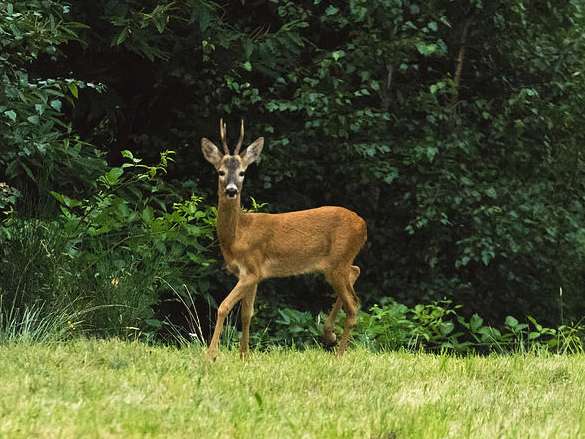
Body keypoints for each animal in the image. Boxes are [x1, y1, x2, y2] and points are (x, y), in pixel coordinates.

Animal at [201, 118, 364, 360]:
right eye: (220, 172)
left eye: (242, 173)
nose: (231, 190)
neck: (238, 234)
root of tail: (363, 225)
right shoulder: (251, 274)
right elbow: (247, 314)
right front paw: (244, 355)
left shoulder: (251, 269)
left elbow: (224, 306)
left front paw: (211, 355)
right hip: (337, 264)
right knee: (355, 273)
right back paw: (330, 335)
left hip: (338, 260)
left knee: (354, 304)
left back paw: (338, 353)